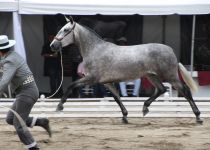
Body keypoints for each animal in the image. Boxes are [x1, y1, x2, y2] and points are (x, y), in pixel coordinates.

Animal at [50, 17, 203, 124]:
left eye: (65, 30)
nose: (53, 45)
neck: (95, 50)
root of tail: (171, 51)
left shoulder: (91, 78)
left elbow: (71, 85)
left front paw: (59, 106)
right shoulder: (106, 83)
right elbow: (117, 98)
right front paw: (125, 116)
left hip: (171, 77)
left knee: (185, 90)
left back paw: (198, 117)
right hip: (152, 76)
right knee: (161, 89)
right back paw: (145, 108)